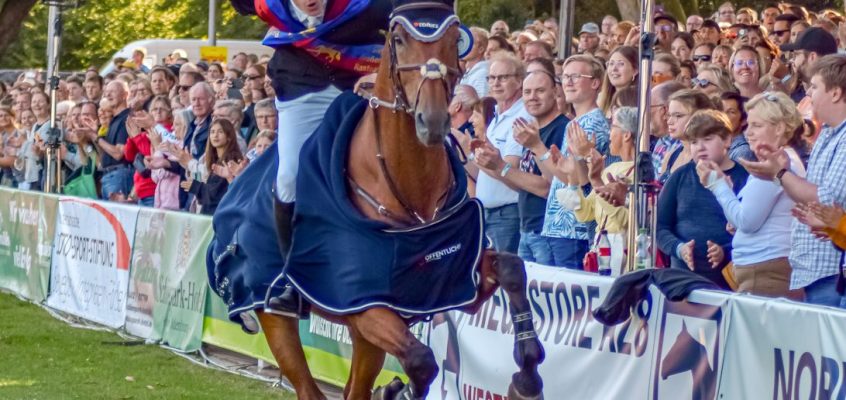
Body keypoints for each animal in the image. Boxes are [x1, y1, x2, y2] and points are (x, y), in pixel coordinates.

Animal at [256, 1, 544, 398]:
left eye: (455, 40)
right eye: (398, 39)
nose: (433, 122)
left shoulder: (459, 281)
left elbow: (514, 268)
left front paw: (527, 375)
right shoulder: (363, 302)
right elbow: (421, 360)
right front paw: (397, 389)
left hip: (364, 339)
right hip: (275, 320)